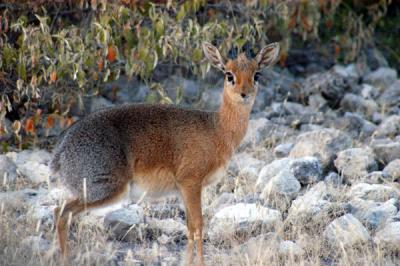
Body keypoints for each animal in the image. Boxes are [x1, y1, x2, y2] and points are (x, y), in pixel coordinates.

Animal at [51, 41, 280, 264]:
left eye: (257, 74)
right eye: (229, 74)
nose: (245, 94)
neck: (218, 129)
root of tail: (60, 151)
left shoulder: (184, 190)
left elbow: (190, 228)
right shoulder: (190, 182)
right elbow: (199, 226)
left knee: (60, 212)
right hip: (104, 189)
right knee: (61, 212)